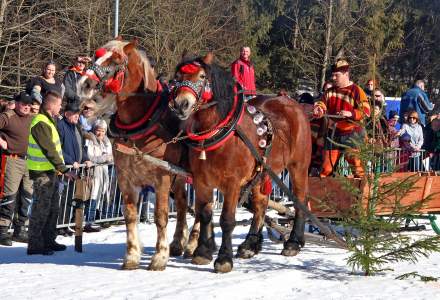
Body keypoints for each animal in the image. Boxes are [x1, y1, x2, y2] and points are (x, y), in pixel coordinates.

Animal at [76, 38, 199, 270]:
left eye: (115, 62)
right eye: (96, 55)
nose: (84, 85)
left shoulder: (162, 179)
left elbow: (160, 216)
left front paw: (159, 257)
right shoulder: (126, 179)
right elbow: (131, 215)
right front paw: (132, 255)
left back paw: (194, 243)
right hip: (179, 178)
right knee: (182, 205)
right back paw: (179, 242)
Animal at [170, 52, 312, 274]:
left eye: (202, 76)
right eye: (177, 77)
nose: (180, 104)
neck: (218, 132)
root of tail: (293, 104)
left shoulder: (232, 184)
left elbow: (227, 220)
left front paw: (223, 259)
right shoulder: (201, 182)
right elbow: (205, 215)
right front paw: (203, 252)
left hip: (298, 167)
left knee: (300, 200)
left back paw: (293, 242)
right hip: (262, 173)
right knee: (261, 204)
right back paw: (250, 244)